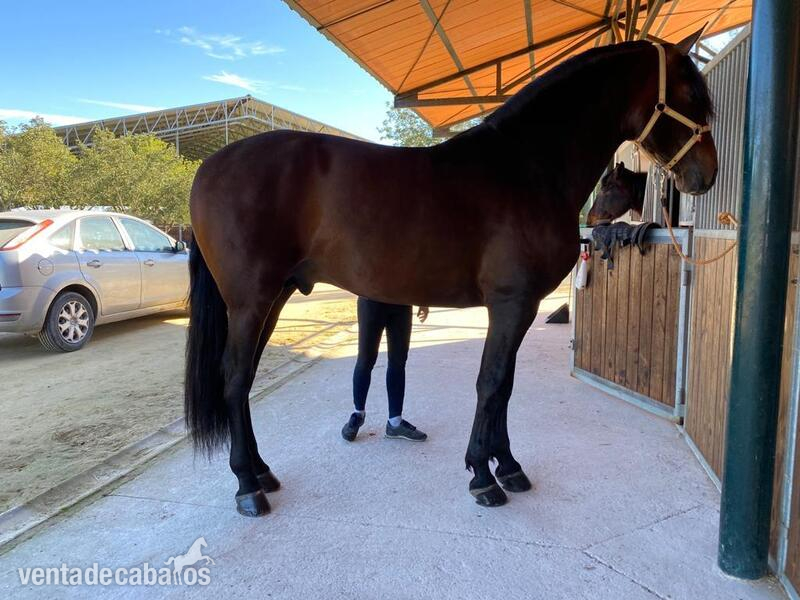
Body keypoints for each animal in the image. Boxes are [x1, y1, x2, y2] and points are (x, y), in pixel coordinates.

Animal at [185, 29, 717, 517]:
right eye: (692, 93)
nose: (706, 175)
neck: (527, 166)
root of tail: (209, 166)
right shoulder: (511, 303)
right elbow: (491, 383)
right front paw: (483, 476)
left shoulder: (519, 309)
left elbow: (505, 387)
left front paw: (509, 467)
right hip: (251, 302)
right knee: (234, 378)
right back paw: (247, 487)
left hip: (272, 299)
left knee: (244, 380)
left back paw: (262, 472)